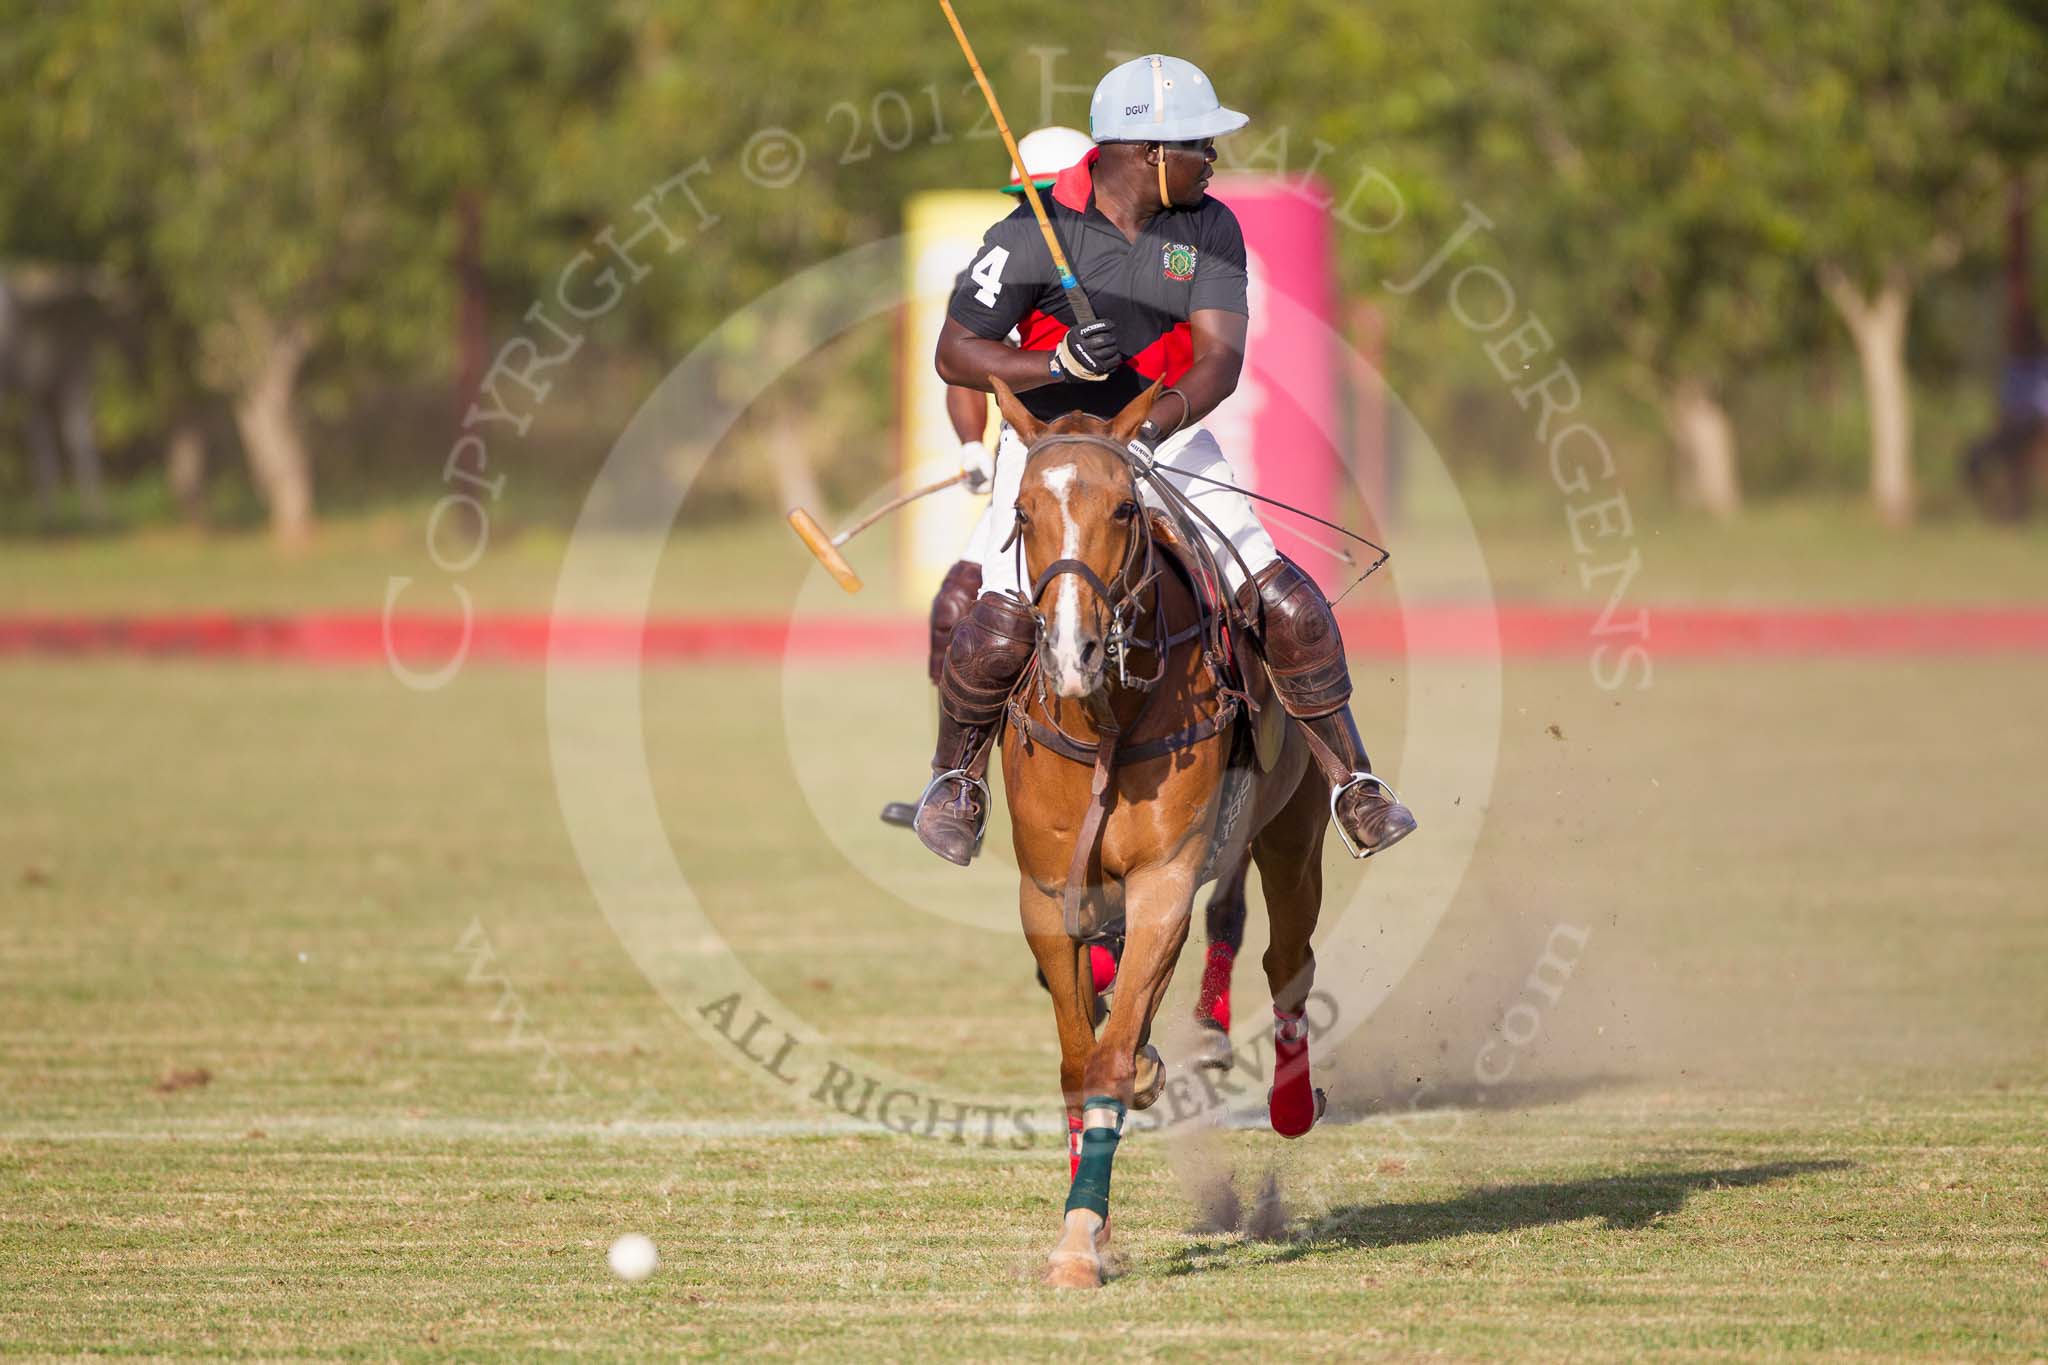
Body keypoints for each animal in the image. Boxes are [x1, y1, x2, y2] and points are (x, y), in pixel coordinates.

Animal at [987, 376, 1335, 1293]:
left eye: (1121, 508)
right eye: (1023, 510)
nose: (1070, 650)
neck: (1107, 712)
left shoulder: (1165, 881)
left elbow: (1107, 1057)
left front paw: (1081, 1239)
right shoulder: (1049, 892)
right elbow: (1080, 1060)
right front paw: (1090, 1222)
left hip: (1295, 834)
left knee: (1287, 960)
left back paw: (1288, 1101)